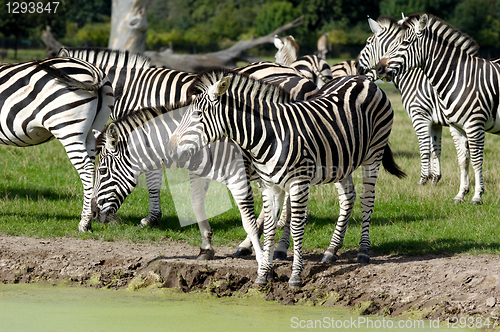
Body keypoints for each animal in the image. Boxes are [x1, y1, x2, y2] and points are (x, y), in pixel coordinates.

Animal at [168, 69, 406, 286]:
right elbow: (269, 226)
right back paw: (331, 250)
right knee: (348, 198)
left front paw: (295, 275)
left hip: (373, 153)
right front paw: (264, 273)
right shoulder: (270, 185)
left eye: (197, 115)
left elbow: (296, 226)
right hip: (341, 161)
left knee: (367, 199)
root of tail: (363, 78)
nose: (171, 147)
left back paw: (363, 251)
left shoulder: (298, 183)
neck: (270, 135)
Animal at [376, 13, 498, 204]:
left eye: (405, 43)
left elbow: (476, 160)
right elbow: (461, 159)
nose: (379, 67)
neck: (458, 77)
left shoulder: (473, 124)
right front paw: (460, 194)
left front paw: (477, 196)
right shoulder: (454, 126)